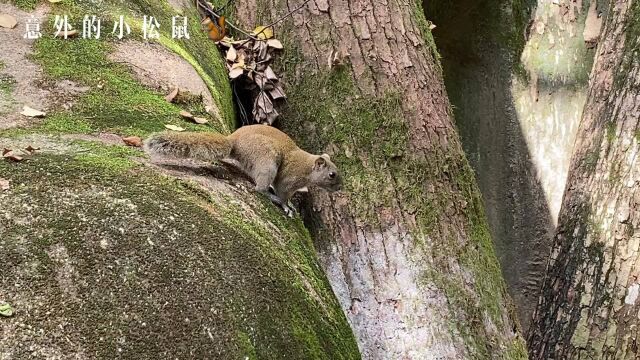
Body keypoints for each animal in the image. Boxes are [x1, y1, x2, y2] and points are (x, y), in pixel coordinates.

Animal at [145, 124, 342, 214]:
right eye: (332, 174)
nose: (341, 187)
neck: (307, 167)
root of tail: (234, 140)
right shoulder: (288, 179)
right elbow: (283, 193)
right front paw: (286, 206)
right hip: (267, 161)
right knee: (259, 188)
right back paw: (270, 195)